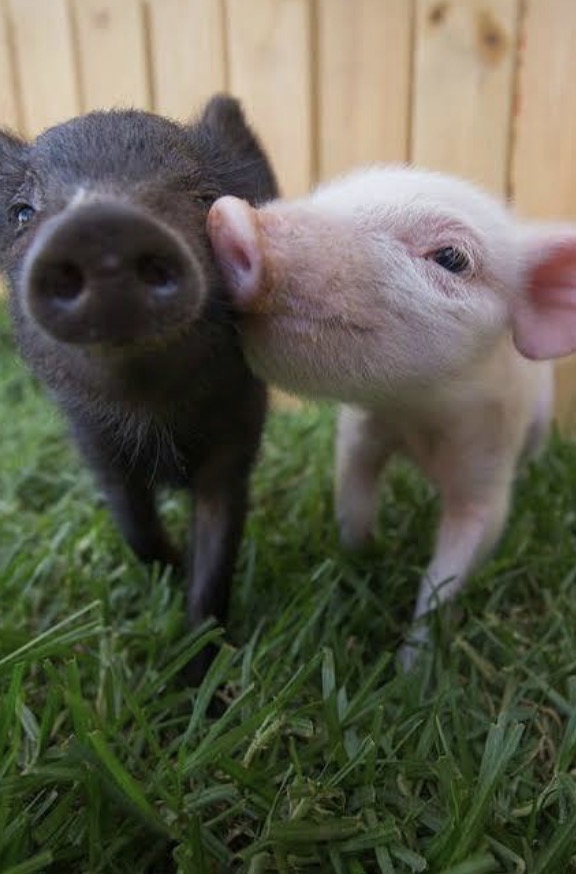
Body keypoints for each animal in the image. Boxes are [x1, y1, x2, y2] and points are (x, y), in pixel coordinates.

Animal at [0, 95, 278, 681]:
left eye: (205, 198)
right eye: (22, 212)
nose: (101, 223)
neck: (152, 417)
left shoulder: (235, 442)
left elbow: (216, 560)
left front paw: (201, 685)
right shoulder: (96, 448)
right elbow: (136, 530)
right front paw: (172, 570)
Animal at [207, 165, 576, 668]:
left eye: (451, 258)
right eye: (327, 193)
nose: (231, 217)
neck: (421, 418)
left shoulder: (488, 470)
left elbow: (450, 569)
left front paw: (410, 669)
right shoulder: (364, 430)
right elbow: (353, 494)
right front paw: (363, 555)